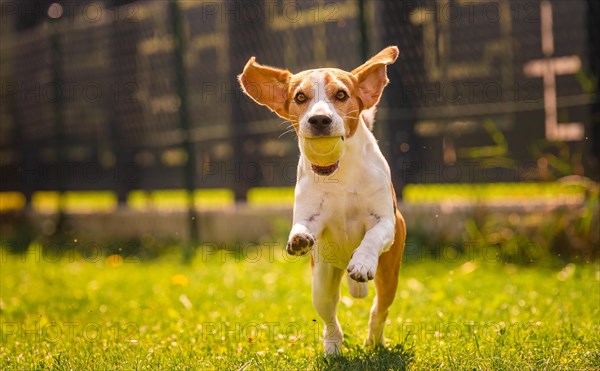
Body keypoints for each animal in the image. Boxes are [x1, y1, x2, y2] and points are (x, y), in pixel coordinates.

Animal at [239, 47, 408, 358]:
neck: (339, 173)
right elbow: (303, 226)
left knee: (379, 310)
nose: (319, 120)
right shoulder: (311, 216)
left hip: (389, 274)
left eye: (341, 94)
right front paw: (299, 238)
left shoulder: (387, 223)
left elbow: (373, 235)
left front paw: (362, 262)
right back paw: (333, 348)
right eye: (300, 97)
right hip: (322, 281)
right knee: (330, 316)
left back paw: (373, 341)